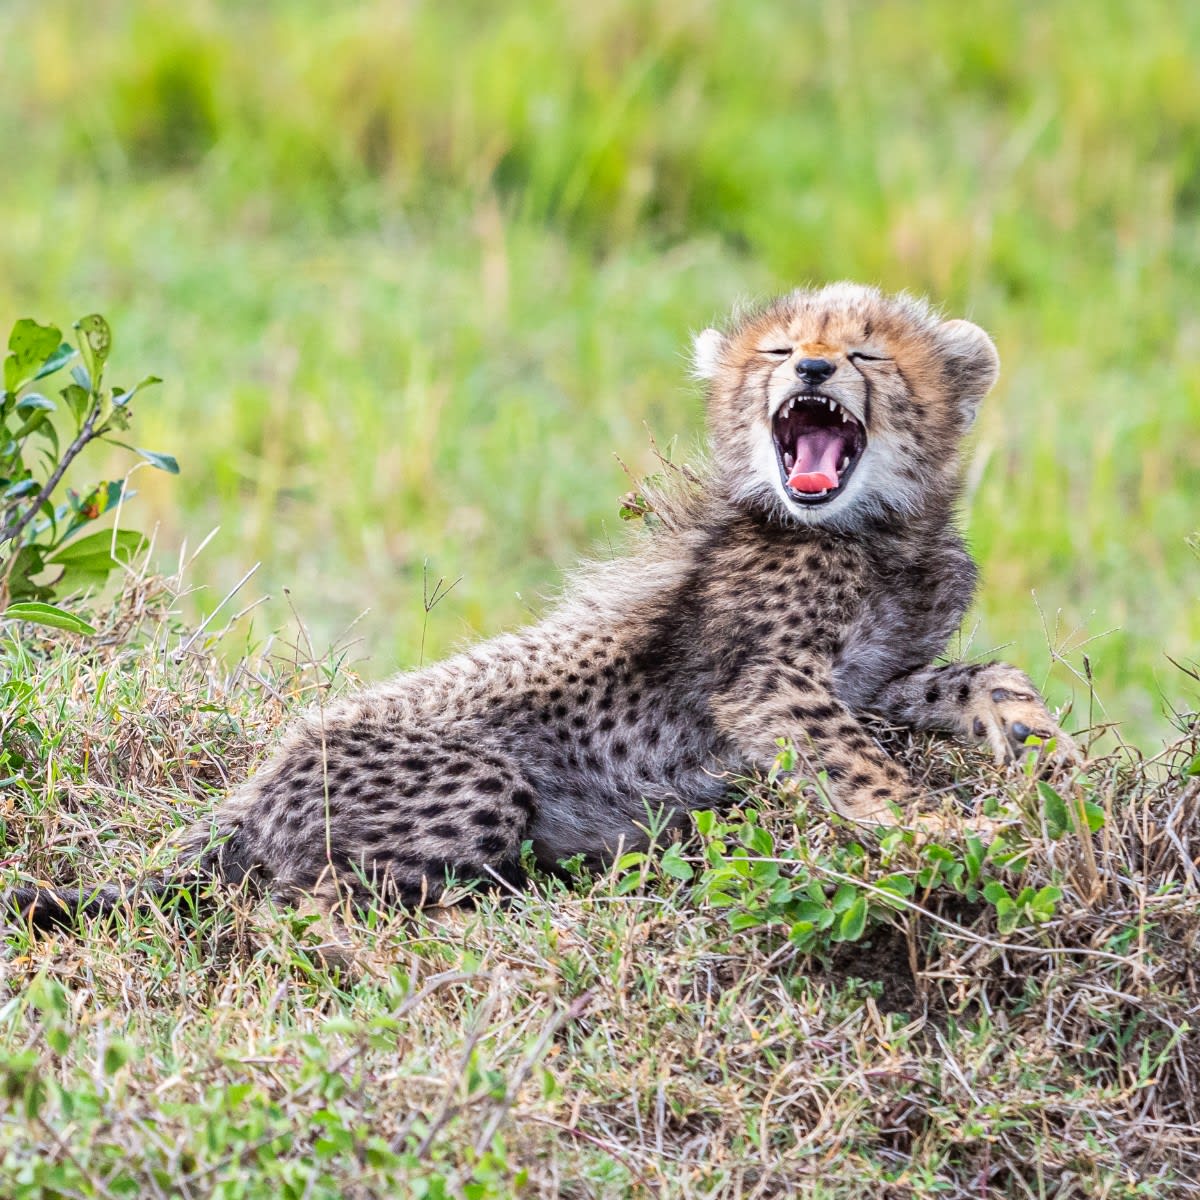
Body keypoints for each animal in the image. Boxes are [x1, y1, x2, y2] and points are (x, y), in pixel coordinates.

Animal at [7, 282, 1079, 932]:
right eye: (782, 348)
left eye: (868, 356)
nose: (813, 371)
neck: (874, 530)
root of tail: (253, 789)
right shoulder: (773, 680)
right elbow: (859, 764)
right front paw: (955, 830)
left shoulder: (876, 675)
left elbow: (971, 677)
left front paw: (1031, 735)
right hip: (477, 783)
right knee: (303, 904)